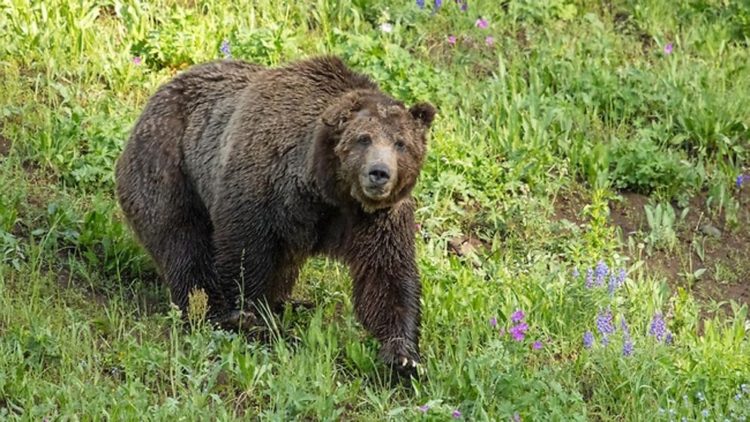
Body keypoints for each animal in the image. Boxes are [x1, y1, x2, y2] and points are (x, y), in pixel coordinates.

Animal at [114, 54, 438, 378]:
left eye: (401, 143)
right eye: (363, 139)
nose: (379, 173)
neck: (325, 189)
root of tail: (160, 92)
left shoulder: (375, 218)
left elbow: (387, 274)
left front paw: (404, 357)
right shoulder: (262, 184)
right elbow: (245, 252)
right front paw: (249, 319)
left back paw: (290, 302)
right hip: (168, 162)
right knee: (182, 241)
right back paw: (207, 308)